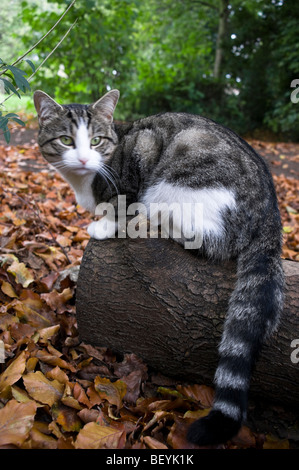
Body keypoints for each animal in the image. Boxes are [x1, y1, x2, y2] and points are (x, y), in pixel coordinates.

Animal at [34, 88, 284, 444]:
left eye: (96, 141)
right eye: (67, 140)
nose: (82, 159)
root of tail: (270, 209)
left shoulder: (142, 149)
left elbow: (120, 202)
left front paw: (106, 223)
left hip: (183, 182)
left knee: (208, 239)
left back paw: (152, 218)